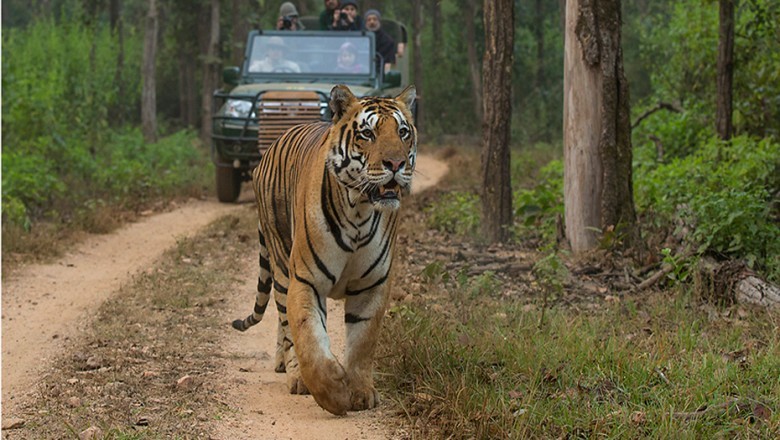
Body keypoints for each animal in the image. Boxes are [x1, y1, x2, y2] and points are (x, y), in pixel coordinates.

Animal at [232, 84, 417, 416]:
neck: (360, 211)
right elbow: (308, 337)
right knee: (284, 319)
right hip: (282, 262)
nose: (396, 165)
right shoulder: (307, 280)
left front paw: (361, 392)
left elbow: (363, 342)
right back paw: (293, 374)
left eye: (403, 132)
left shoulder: (372, 285)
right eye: (368, 134)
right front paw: (331, 391)